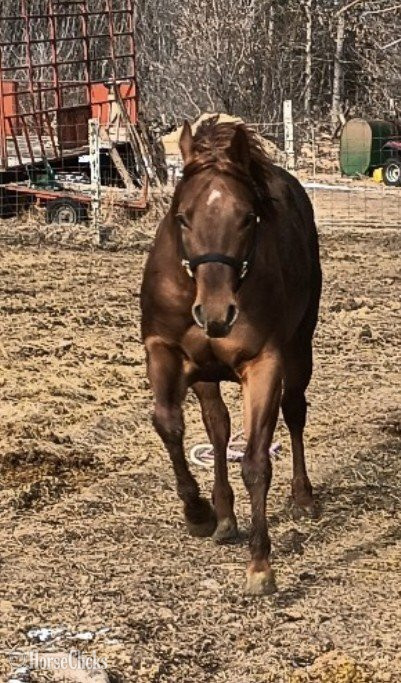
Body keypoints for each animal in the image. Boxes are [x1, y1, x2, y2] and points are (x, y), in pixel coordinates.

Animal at [140, 118, 322, 595]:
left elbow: (257, 460)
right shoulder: (163, 350)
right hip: (206, 373)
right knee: (218, 429)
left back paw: (303, 496)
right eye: (182, 217)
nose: (217, 313)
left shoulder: (263, 365)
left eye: (247, 218)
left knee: (294, 412)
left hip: (300, 349)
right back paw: (223, 515)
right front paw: (199, 513)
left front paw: (260, 564)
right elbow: (169, 425)